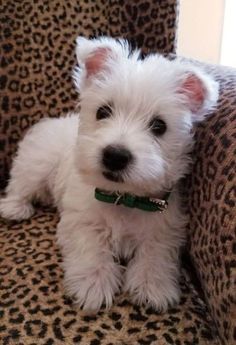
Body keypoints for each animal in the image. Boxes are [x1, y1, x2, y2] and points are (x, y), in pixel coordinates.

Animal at [0, 36, 218, 310]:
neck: (122, 197)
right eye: (103, 111)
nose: (115, 156)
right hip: (36, 164)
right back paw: (14, 208)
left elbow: (155, 253)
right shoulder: (80, 220)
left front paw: (153, 285)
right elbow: (90, 247)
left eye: (159, 126)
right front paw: (92, 284)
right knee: (20, 185)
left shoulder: (165, 226)